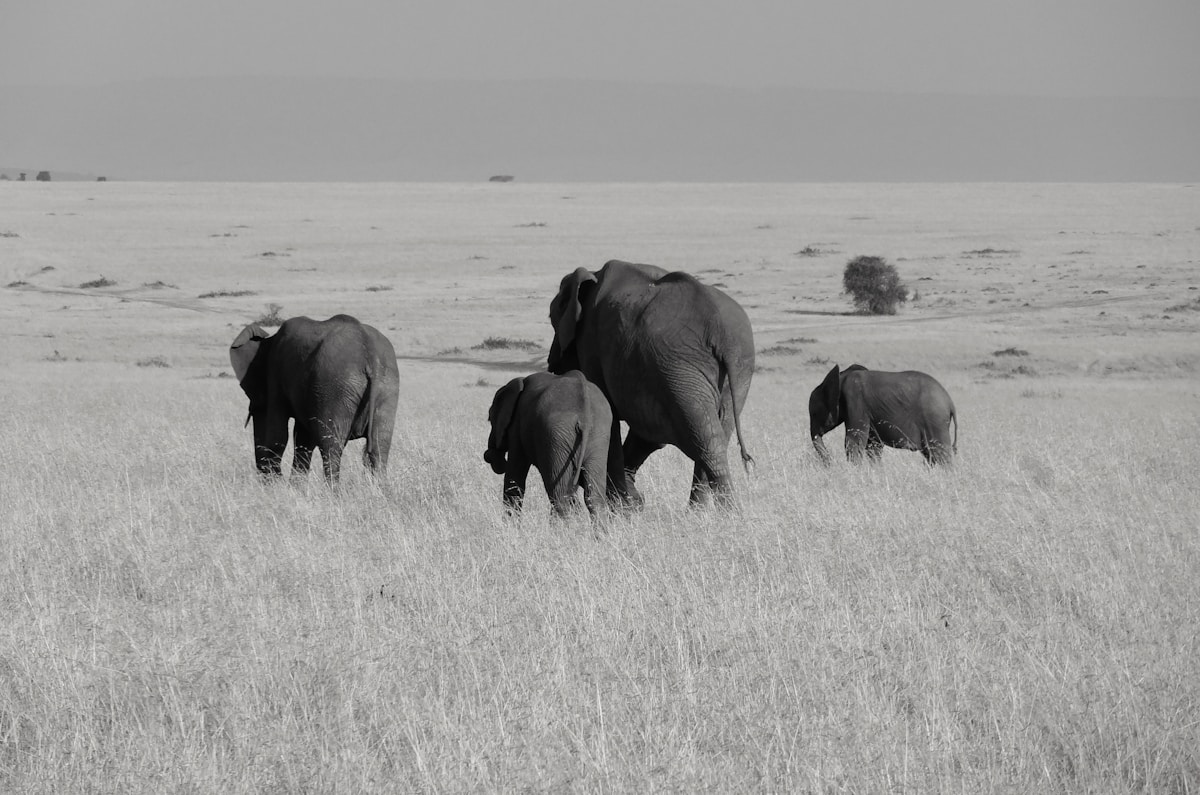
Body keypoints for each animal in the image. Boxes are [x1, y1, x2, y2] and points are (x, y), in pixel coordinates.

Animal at [229, 314, 400, 481]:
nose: (272, 481)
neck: (269, 340)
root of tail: (371, 357)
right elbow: (303, 439)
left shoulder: (275, 375)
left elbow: (277, 436)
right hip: (387, 387)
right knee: (380, 447)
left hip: (336, 388)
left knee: (331, 447)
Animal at [484, 370, 612, 517]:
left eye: (490, 419)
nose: (488, 455)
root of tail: (584, 416)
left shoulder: (517, 426)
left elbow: (514, 476)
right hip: (598, 436)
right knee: (594, 498)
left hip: (556, 436)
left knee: (559, 496)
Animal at [548, 259, 754, 508]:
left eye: (552, 318)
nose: (552, 364)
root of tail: (725, 336)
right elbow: (647, 432)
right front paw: (632, 501)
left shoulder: (592, 345)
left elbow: (612, 417)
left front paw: (622, 505)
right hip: (732, 369)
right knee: (716, 433)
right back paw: (702, 512)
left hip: (679, 365)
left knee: (705, 440)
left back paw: (724, 511)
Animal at [809, 364, 957, 465]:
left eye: (814, 413)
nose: (831, 463)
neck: (841, 376)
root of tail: (950, 402)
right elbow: (873, 445)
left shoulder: (856, 402)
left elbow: (854, 442)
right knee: (930, 455)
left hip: (934, 420)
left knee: (940, 454)